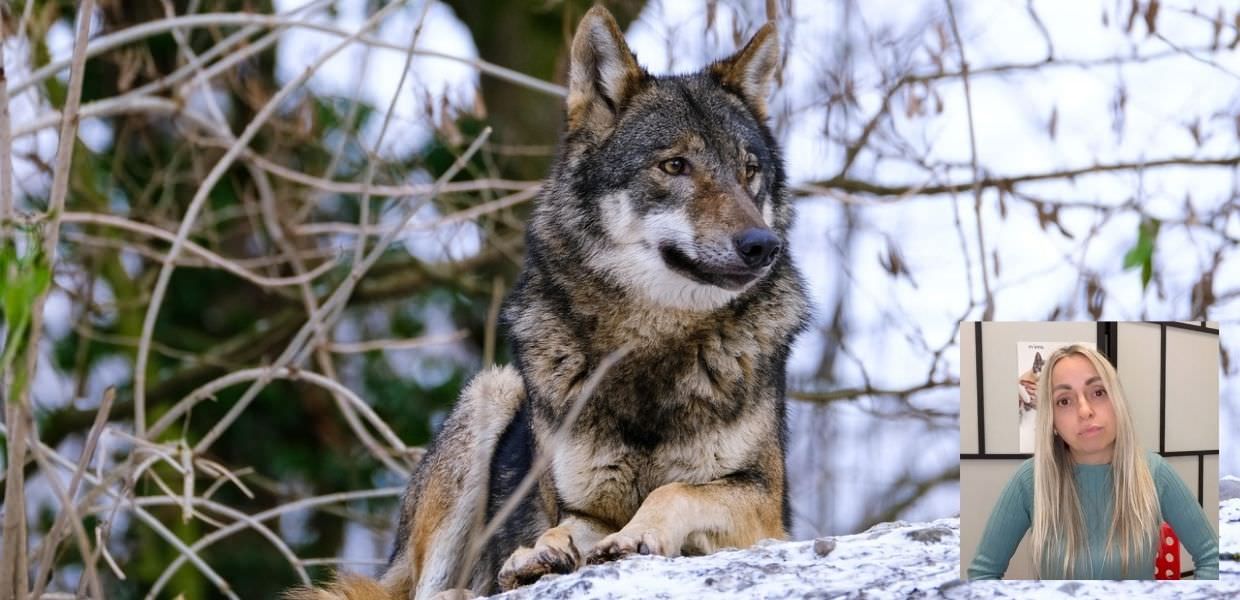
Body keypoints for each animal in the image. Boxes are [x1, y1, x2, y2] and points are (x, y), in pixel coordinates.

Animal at [288, 5, 808, 599]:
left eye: (749, 171)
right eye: (675, 166)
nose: (762, 245)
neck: (651, 346)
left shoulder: (765, 508)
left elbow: (673, 492)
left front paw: (635, 535)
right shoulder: (581, 506)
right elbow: (563, 526)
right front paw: (539, 552)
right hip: (491, 394)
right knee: (433, 588)